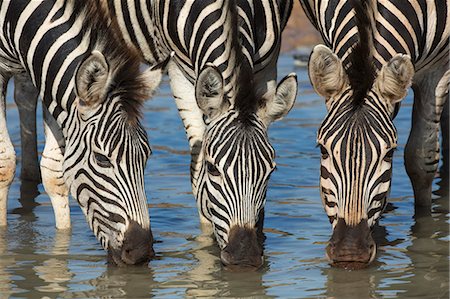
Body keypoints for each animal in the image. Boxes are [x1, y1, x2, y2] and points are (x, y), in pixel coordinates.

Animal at [0, 0, 170, 268]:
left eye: (146, 156)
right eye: (101, 159)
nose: (141, 252)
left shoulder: (46, 78)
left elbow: (54, 171)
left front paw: (62, 246)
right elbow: (5, 162)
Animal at [106, 0, 298, 268]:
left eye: (271, 171)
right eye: (213, 169)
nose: (244, 257)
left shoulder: (268, 65)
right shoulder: (177, 71)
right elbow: (197, 177)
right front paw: (206, 250)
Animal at [300, 0, 448, 270]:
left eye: (389, 153)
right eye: (323, 150)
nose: (349, 253)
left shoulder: (440, 68)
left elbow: (421, 159)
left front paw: (424, 233)